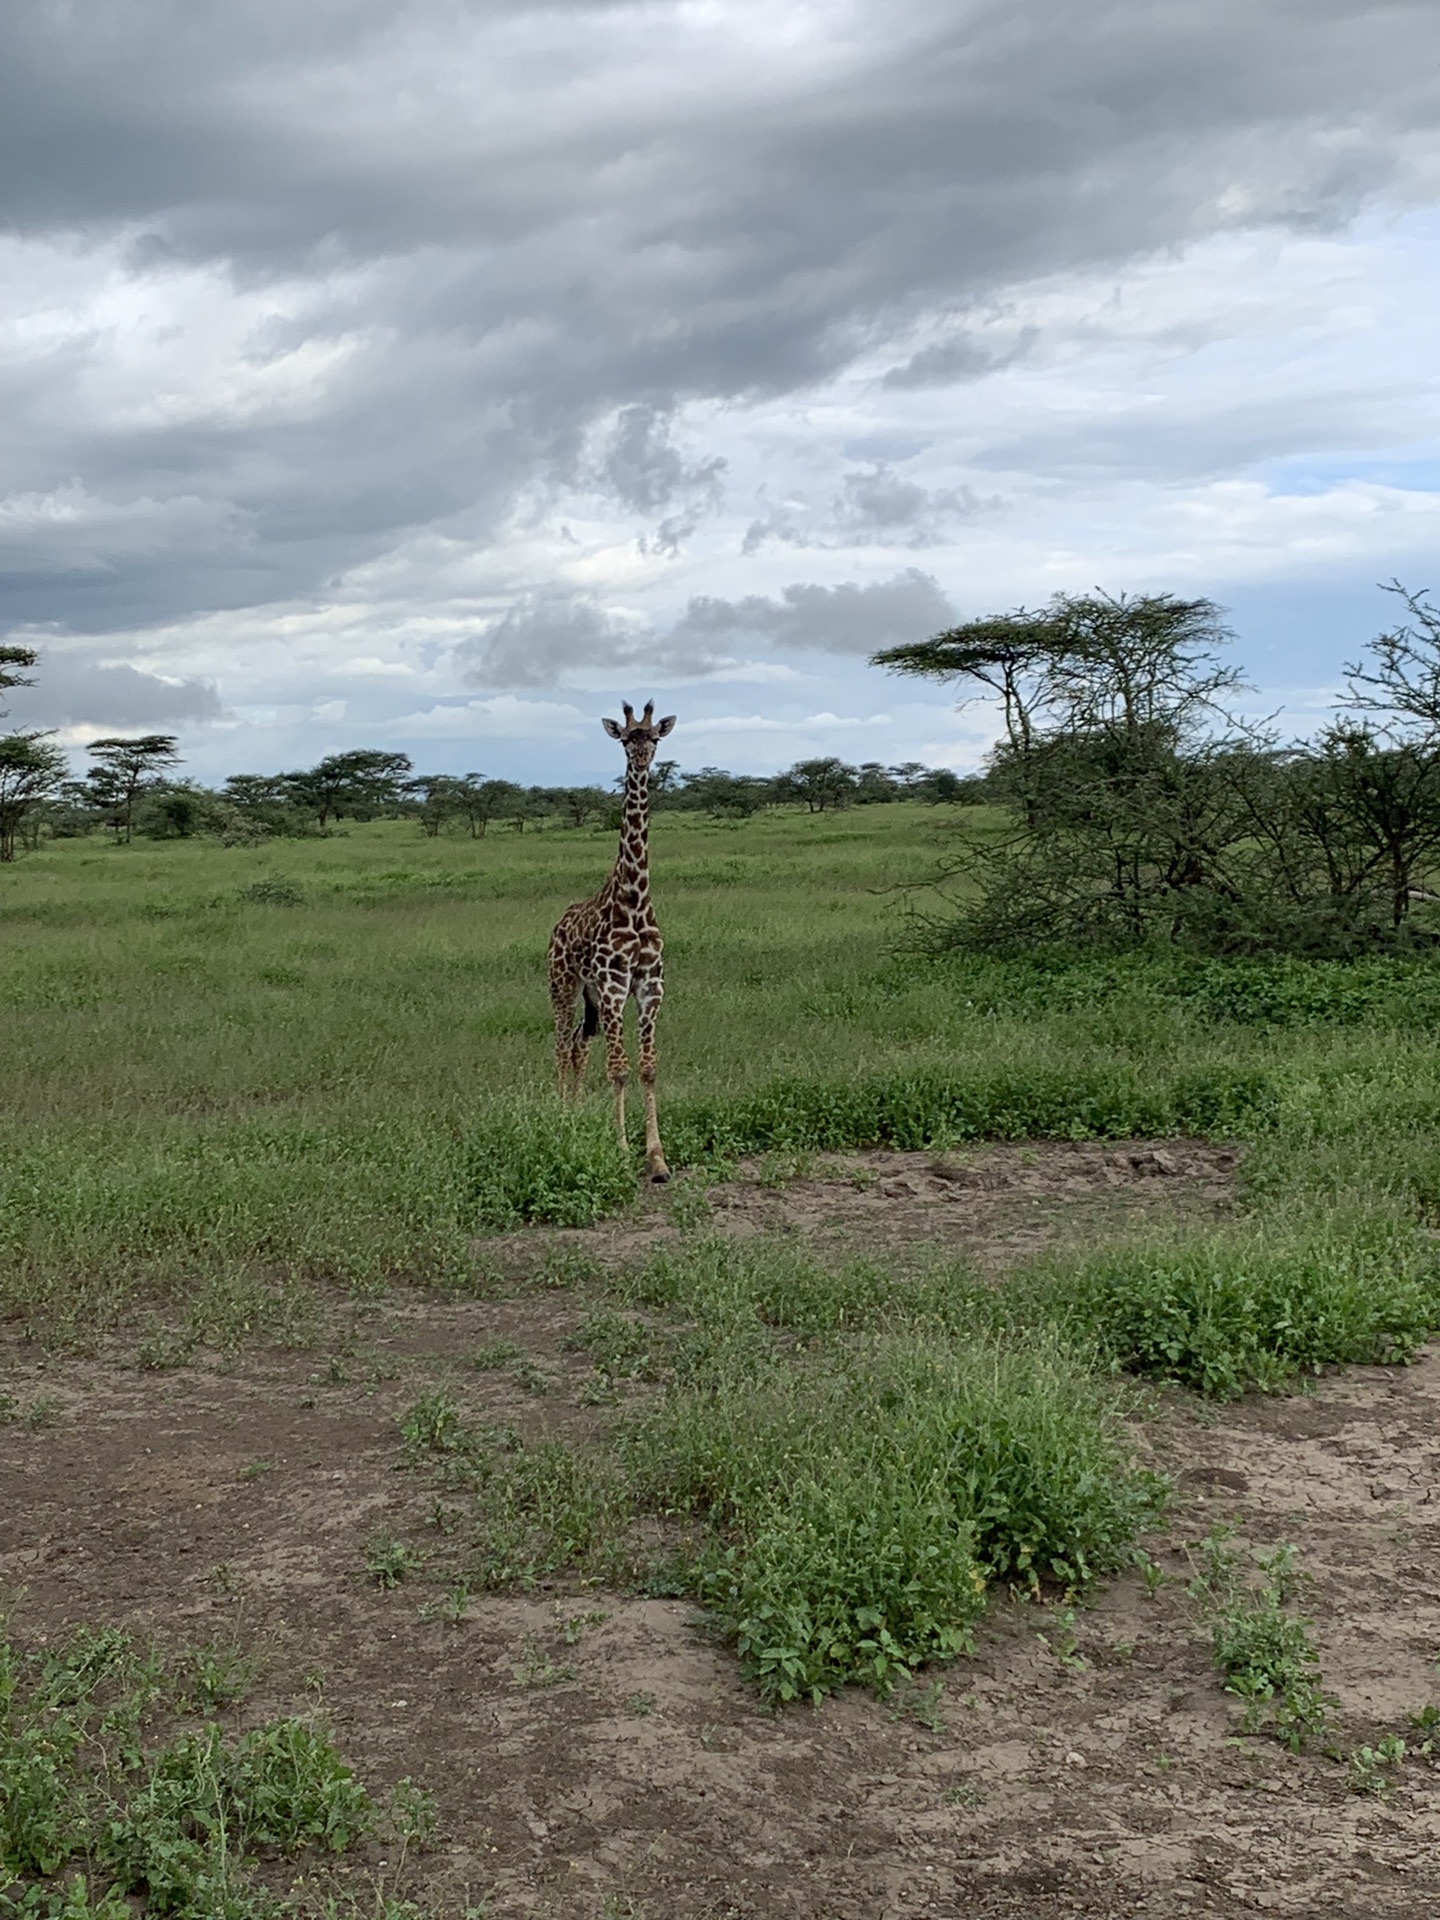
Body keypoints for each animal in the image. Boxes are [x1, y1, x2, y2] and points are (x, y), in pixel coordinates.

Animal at [549, 702, 679, 1175]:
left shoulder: (650, 985)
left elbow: (648, 1067)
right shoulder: (612, 986)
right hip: (564, 987)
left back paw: (577, 1111)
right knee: (561, 1045)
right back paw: (562, 1113)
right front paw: (623, 1150)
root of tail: (558, 924)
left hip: (588, 1000)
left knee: (579, 1046)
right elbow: (619, 1067)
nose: (641, 760)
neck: (635, 902)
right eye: (626, 739)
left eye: (654, 738)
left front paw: (656, 1156)